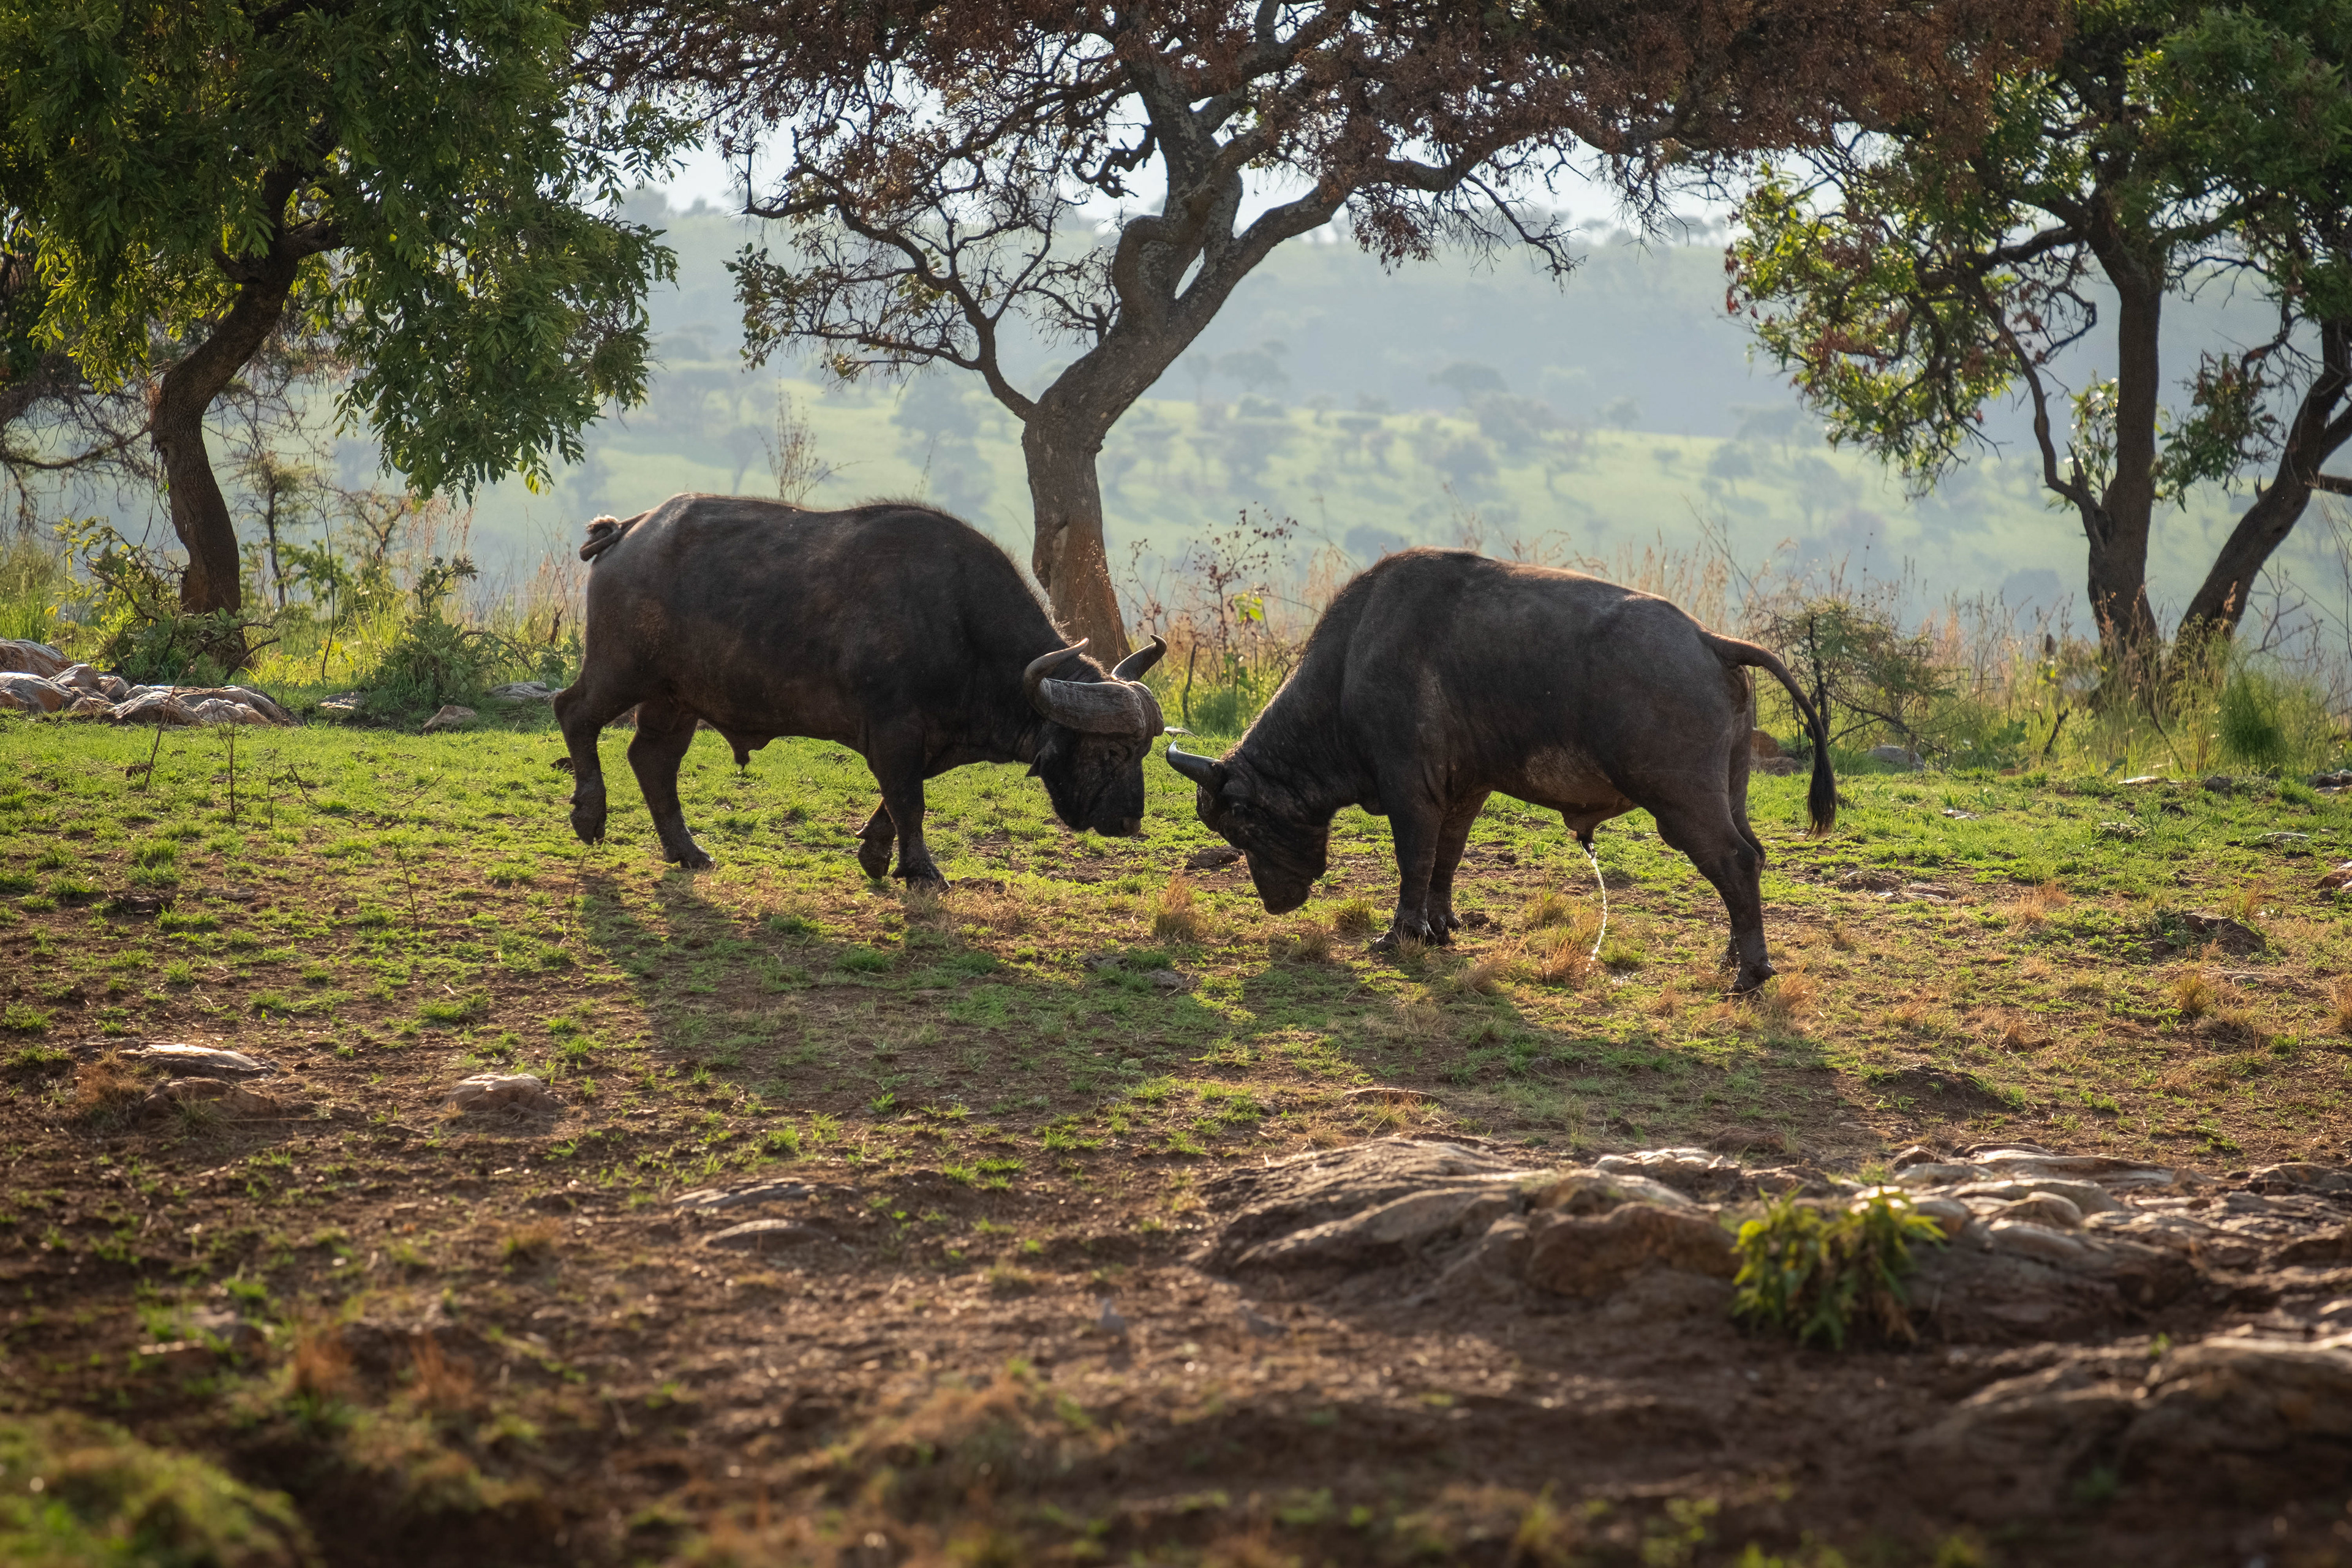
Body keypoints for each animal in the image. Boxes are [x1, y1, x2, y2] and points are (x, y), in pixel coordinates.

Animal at [554, 494, 1166, 882]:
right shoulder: (894, 733)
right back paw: (589, 815)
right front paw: (922, 871)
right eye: (1112, 751)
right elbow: (910, 803)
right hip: (621, 670)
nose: (1129, 823)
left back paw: (686, 852)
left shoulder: (926, 744)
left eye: (1144, 753)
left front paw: (876, 855)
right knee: (574, 712)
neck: (962, 625)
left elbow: (896, 804)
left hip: (676, 699)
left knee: (652, 758)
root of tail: (628, 530)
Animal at [1163, 549, 1833, 993]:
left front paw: (1400, 934)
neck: (1352, 660)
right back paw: (1733, 958)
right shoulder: (1466, 791)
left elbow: (1414, 858)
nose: (1275, 902)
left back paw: (1750, 973)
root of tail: (1709, 639)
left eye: (1242, 827)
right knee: (1752, 856)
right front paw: (1439, 927)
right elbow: (1447, 859)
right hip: (1729, 790)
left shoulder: (1410, 788)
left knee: (1734, 861)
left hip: (1680, 801)